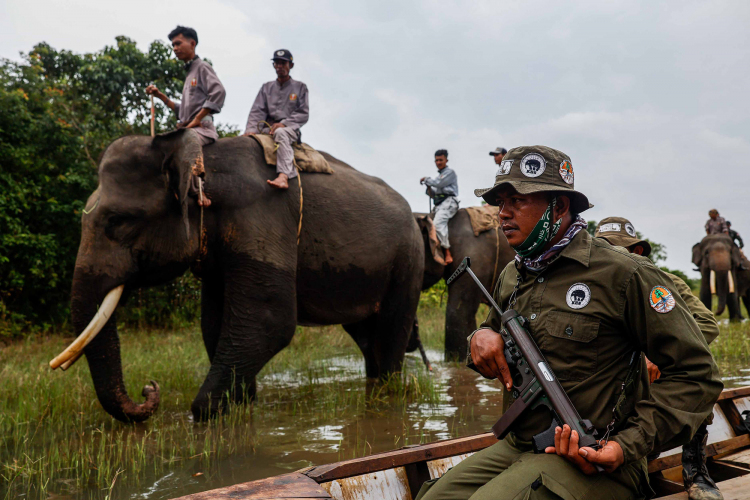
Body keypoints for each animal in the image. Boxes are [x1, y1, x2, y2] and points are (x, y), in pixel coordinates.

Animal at [61, 129, 424, 422]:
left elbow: (270, 321)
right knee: (365, 337)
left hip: (409, 262)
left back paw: (388, 395)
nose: (149, 388)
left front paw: (209, 411)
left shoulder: (260, 217)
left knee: (391, 332)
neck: (202, 160)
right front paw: (242, 405)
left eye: (119, 221)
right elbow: (213, 324)